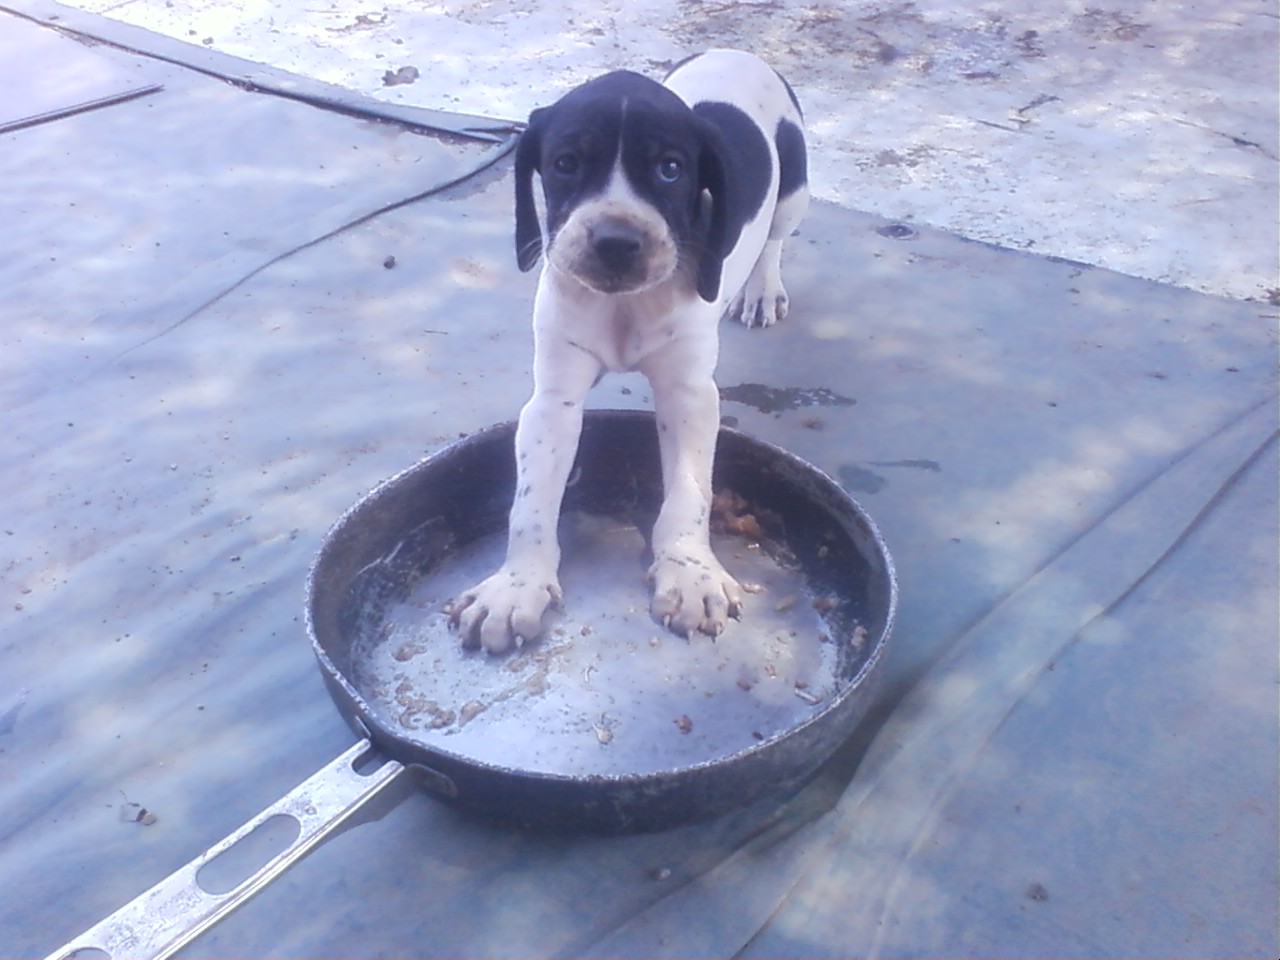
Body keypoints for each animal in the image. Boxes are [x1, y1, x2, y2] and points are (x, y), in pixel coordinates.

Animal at [448, 49, 809, 654]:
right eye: (567, 163)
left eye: (670, 169)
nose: (616, 243)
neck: (625, 304)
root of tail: (734, 52)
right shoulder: (554, 401)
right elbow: (530, 502)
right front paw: (517, 583)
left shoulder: (689, 394)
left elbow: (690, 491)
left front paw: (690, 572)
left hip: (793, 192)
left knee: (775, 239)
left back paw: (761, 289)